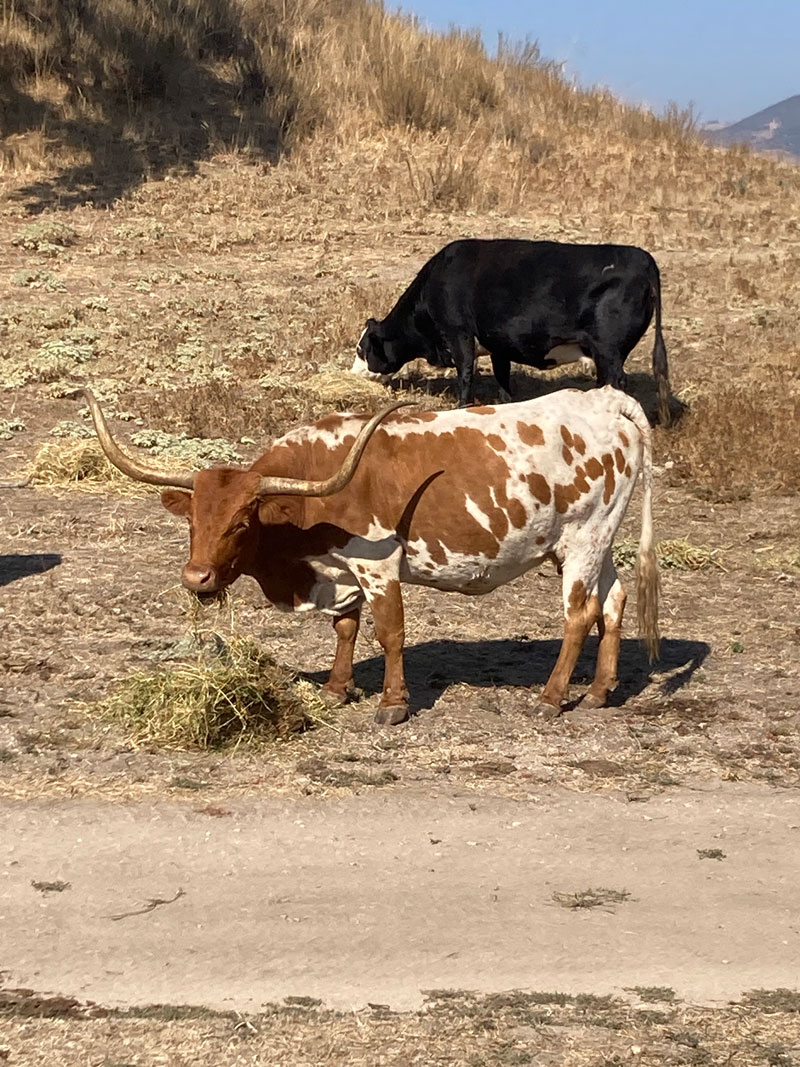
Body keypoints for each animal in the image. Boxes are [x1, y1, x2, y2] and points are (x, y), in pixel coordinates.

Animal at [87, 384, 661, 725]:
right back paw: (599, 692)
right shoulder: (340, 573)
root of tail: (603, 399)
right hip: (592, 542)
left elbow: (389, 632)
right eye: (192, 521)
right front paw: (337, 689)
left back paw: (550, 698)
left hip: (584, 539)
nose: (197, 578)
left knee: (579, 614)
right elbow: (345, 627)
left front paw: (392, 704)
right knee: (614, 601)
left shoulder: (377, 567)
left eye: (241, 522)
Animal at [354, 240, 674, 422]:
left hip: (608, 350)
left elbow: (466, 374)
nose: (353, 372)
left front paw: (460, 407)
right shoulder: (498, 344)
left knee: (616, 381)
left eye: (361, 349)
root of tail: (643, 258)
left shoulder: (459, 333)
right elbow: (502, 378)